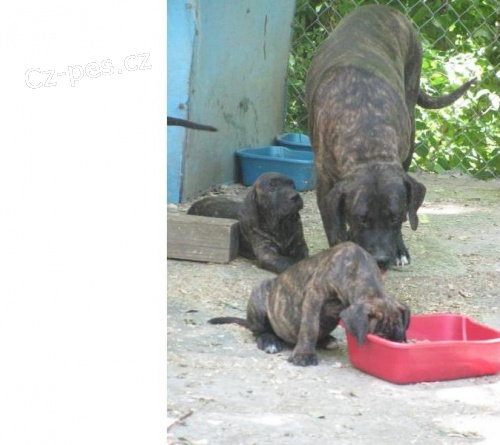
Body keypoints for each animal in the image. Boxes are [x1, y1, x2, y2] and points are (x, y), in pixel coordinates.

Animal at [210, 241, 410, 366]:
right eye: (381, 336)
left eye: (400, 337)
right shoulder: (315, 294)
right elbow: (310, 326)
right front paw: (304, 355)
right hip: (260, 295)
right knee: (259, 331)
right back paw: (269, 341)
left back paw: (327, 340)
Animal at [304, 4, 476, 268]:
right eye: (361, 218)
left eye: (395, 217)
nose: (381, 260)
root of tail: (384, 7)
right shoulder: (325, 188)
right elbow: (335, 229)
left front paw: (399, 249)